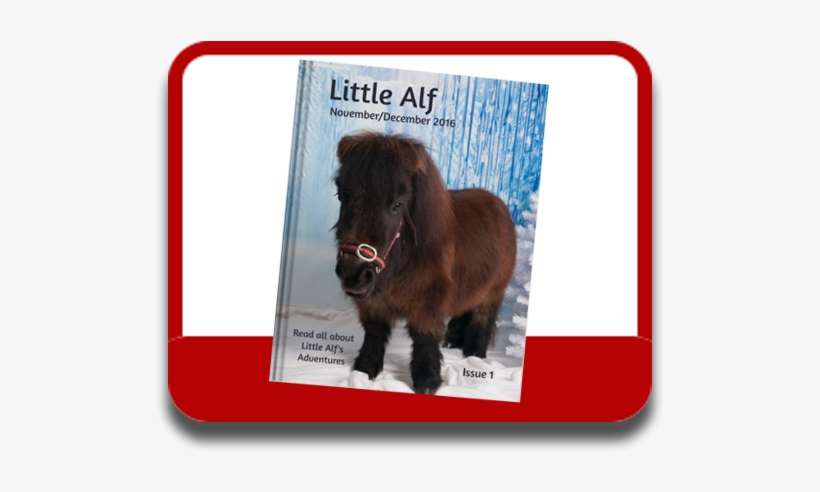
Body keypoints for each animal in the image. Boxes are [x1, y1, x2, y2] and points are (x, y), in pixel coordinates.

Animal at [333, 131, 517, 394]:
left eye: (396, 205)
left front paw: (427, 383)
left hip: (492, 294)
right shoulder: (374, 303)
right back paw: (454, 344)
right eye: (341, 195)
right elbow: (374, 334)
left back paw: (474, 358)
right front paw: (363, 372)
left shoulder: (428, 303)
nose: (353, 273)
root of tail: (498, 204)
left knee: (481, 322)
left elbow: (424, 337)